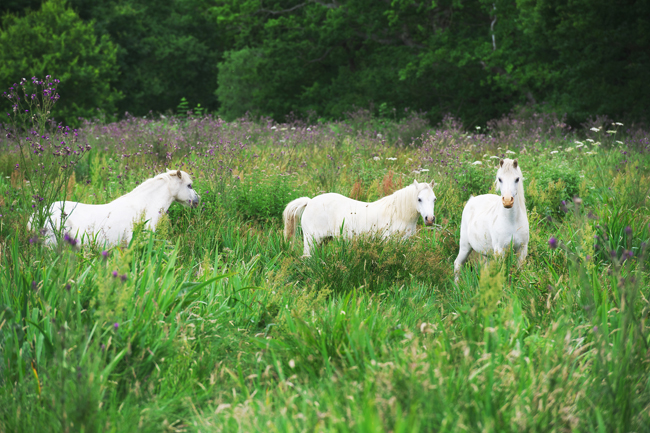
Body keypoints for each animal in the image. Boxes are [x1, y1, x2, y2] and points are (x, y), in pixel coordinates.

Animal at [283, 180, 437, 257]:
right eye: (419, 199)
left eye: (434, 199)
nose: (429, 219)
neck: (397, 214)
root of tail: (309, 202)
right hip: (311, 240)